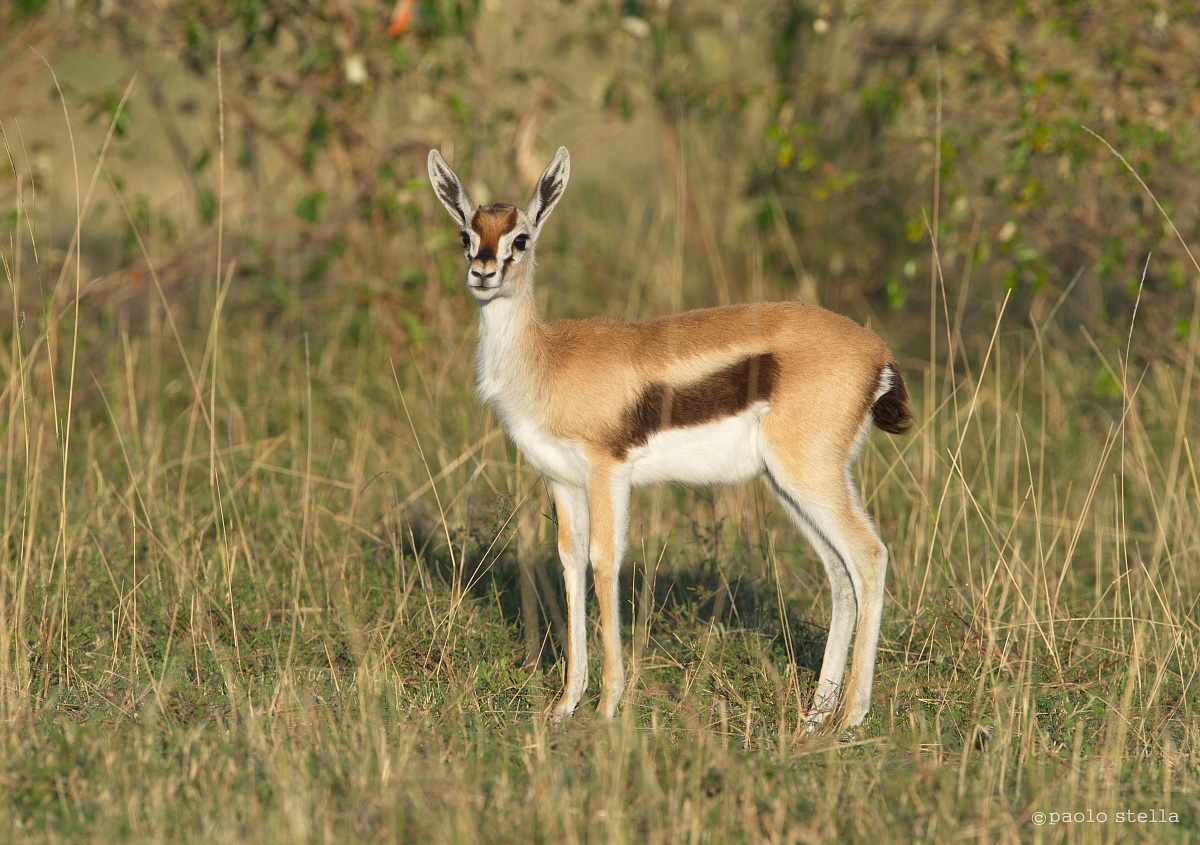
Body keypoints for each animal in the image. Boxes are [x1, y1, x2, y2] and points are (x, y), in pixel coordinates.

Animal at [426, 146, 911, 730]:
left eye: (520, 238)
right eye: (466, 234)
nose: (482, 272)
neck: (548, 361)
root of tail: (878, 354)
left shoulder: (608, 471)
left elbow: (604, 561)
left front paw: (608, 705)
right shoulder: (562, 481)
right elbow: (570, 564)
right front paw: (565, 704)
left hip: (809, 476)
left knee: (870, 556)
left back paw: (852, 717)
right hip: (786, 485)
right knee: (840, 574)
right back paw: (816, 715)